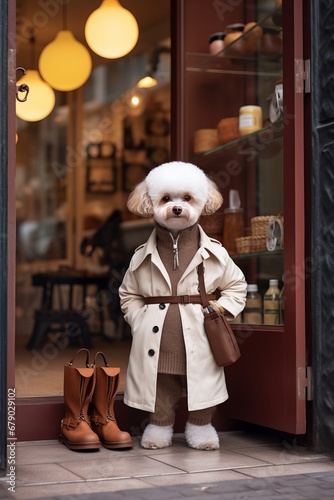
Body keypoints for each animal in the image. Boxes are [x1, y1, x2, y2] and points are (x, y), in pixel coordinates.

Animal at [118, 162, 247, 452]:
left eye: (187, 198)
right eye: (166, 199)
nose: (177, 209)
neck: (177, 241)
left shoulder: (227, 264)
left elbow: (237, 285)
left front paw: (202, 439)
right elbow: (129, 295)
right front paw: (156, 438)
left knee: (201, 407)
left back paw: (204, 437)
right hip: (158, 374)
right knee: (161, 401)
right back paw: (156, 436)